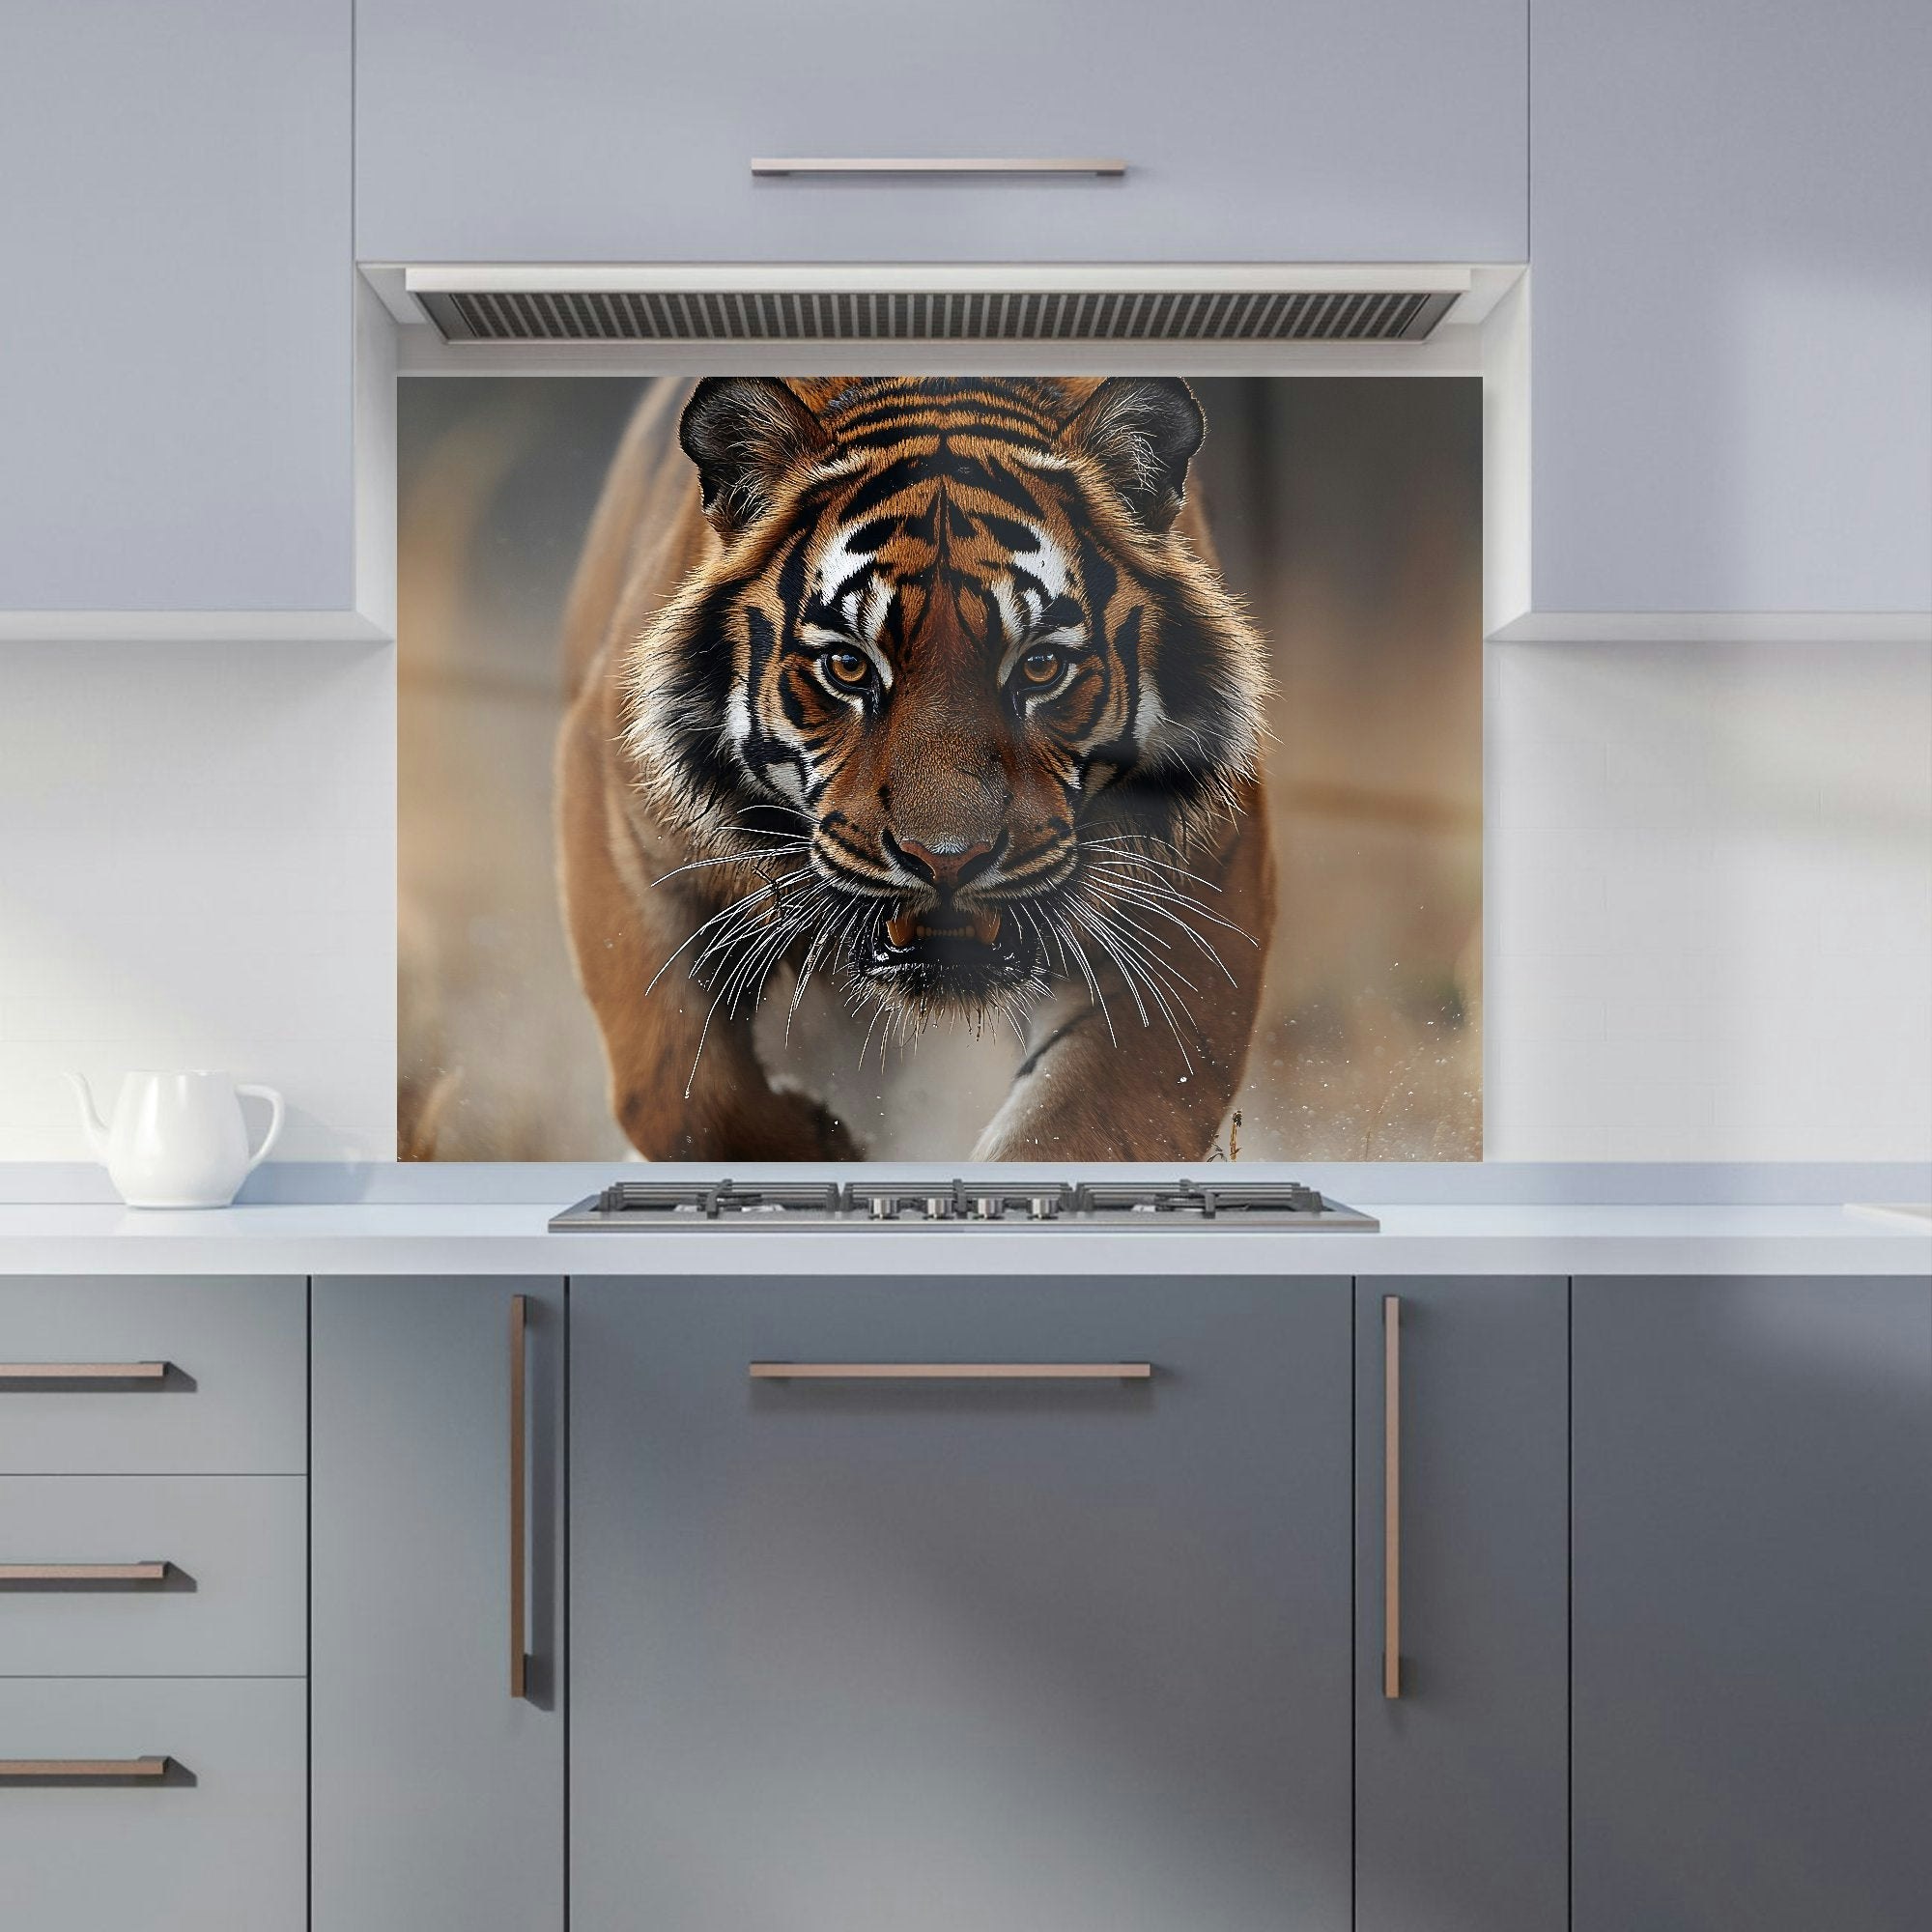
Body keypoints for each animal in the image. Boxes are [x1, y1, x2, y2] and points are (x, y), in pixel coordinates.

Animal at [556, 375, 1275, 1160]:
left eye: (1040, 667)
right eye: (848, 665)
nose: (947, 860)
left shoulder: (1199, 897)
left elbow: (1079, 1131)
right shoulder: (624, 828)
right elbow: (682, 1093)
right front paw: (825, 1146)